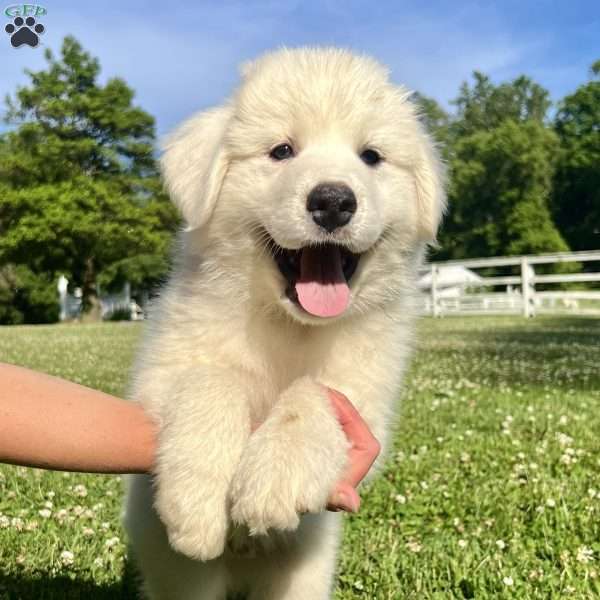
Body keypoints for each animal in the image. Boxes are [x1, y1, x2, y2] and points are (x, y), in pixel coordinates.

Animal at [125, 48, 446, 600]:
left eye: (371, 157)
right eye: (281, 151)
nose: (334, 200)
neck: (289, 326)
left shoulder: (369, 400)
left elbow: (314, 393)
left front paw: (276, 474)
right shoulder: (159, 374)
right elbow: (212, 379)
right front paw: (197, 501)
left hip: (302, 575)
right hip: (182, 578)